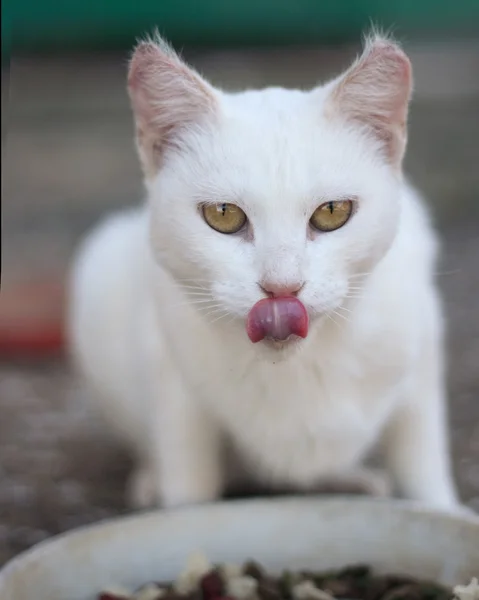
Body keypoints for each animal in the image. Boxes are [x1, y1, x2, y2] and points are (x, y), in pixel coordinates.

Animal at [67, 34, 462, 510]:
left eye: (333, 211)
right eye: (223, 215)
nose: (282, 287)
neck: (298, 368)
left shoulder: (423, 354)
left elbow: (423, 466)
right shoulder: (172, 379)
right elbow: (188, 481)